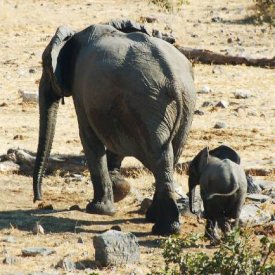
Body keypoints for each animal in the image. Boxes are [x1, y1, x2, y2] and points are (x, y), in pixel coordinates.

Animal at [33, 22, 196, 236]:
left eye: (45, 65)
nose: (38, 199)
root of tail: (173, 80)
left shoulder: (81, 89)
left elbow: (88, 137)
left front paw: (98, 210)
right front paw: (119, 189)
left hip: (147, 103)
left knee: (159, 157)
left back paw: (164, 228)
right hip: (181, 106)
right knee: (170, 156)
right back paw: (158, 220)